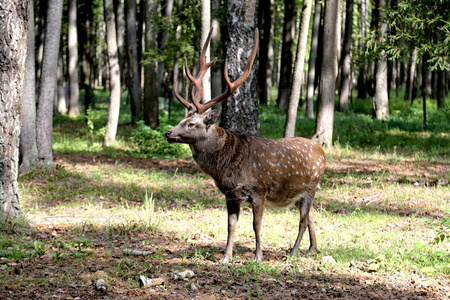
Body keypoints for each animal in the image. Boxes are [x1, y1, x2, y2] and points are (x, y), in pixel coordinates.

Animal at [166, 28, 326, 262]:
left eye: (192, 123)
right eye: (181, 119)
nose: (168, 133)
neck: (226, 170)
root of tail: (322, 151)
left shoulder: (260, 190)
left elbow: (256, 225)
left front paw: (258, 257)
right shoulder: (231, 196)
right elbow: (231, 226)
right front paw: (226, 257)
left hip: (311, 186)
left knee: (303, 220)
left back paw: (293, 251)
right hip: (299, 192)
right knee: (312, 215)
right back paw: (312, 248)